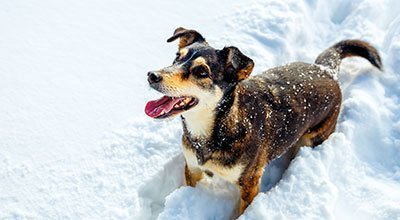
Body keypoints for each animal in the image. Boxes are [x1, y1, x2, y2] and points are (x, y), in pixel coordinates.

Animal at [144, 26, 382, 216]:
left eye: (201, 71)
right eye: (177, 57)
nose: (152, 75)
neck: (217, 129)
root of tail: (326, 70)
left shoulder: (249, 185)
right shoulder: (192, 169)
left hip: (315, 136)